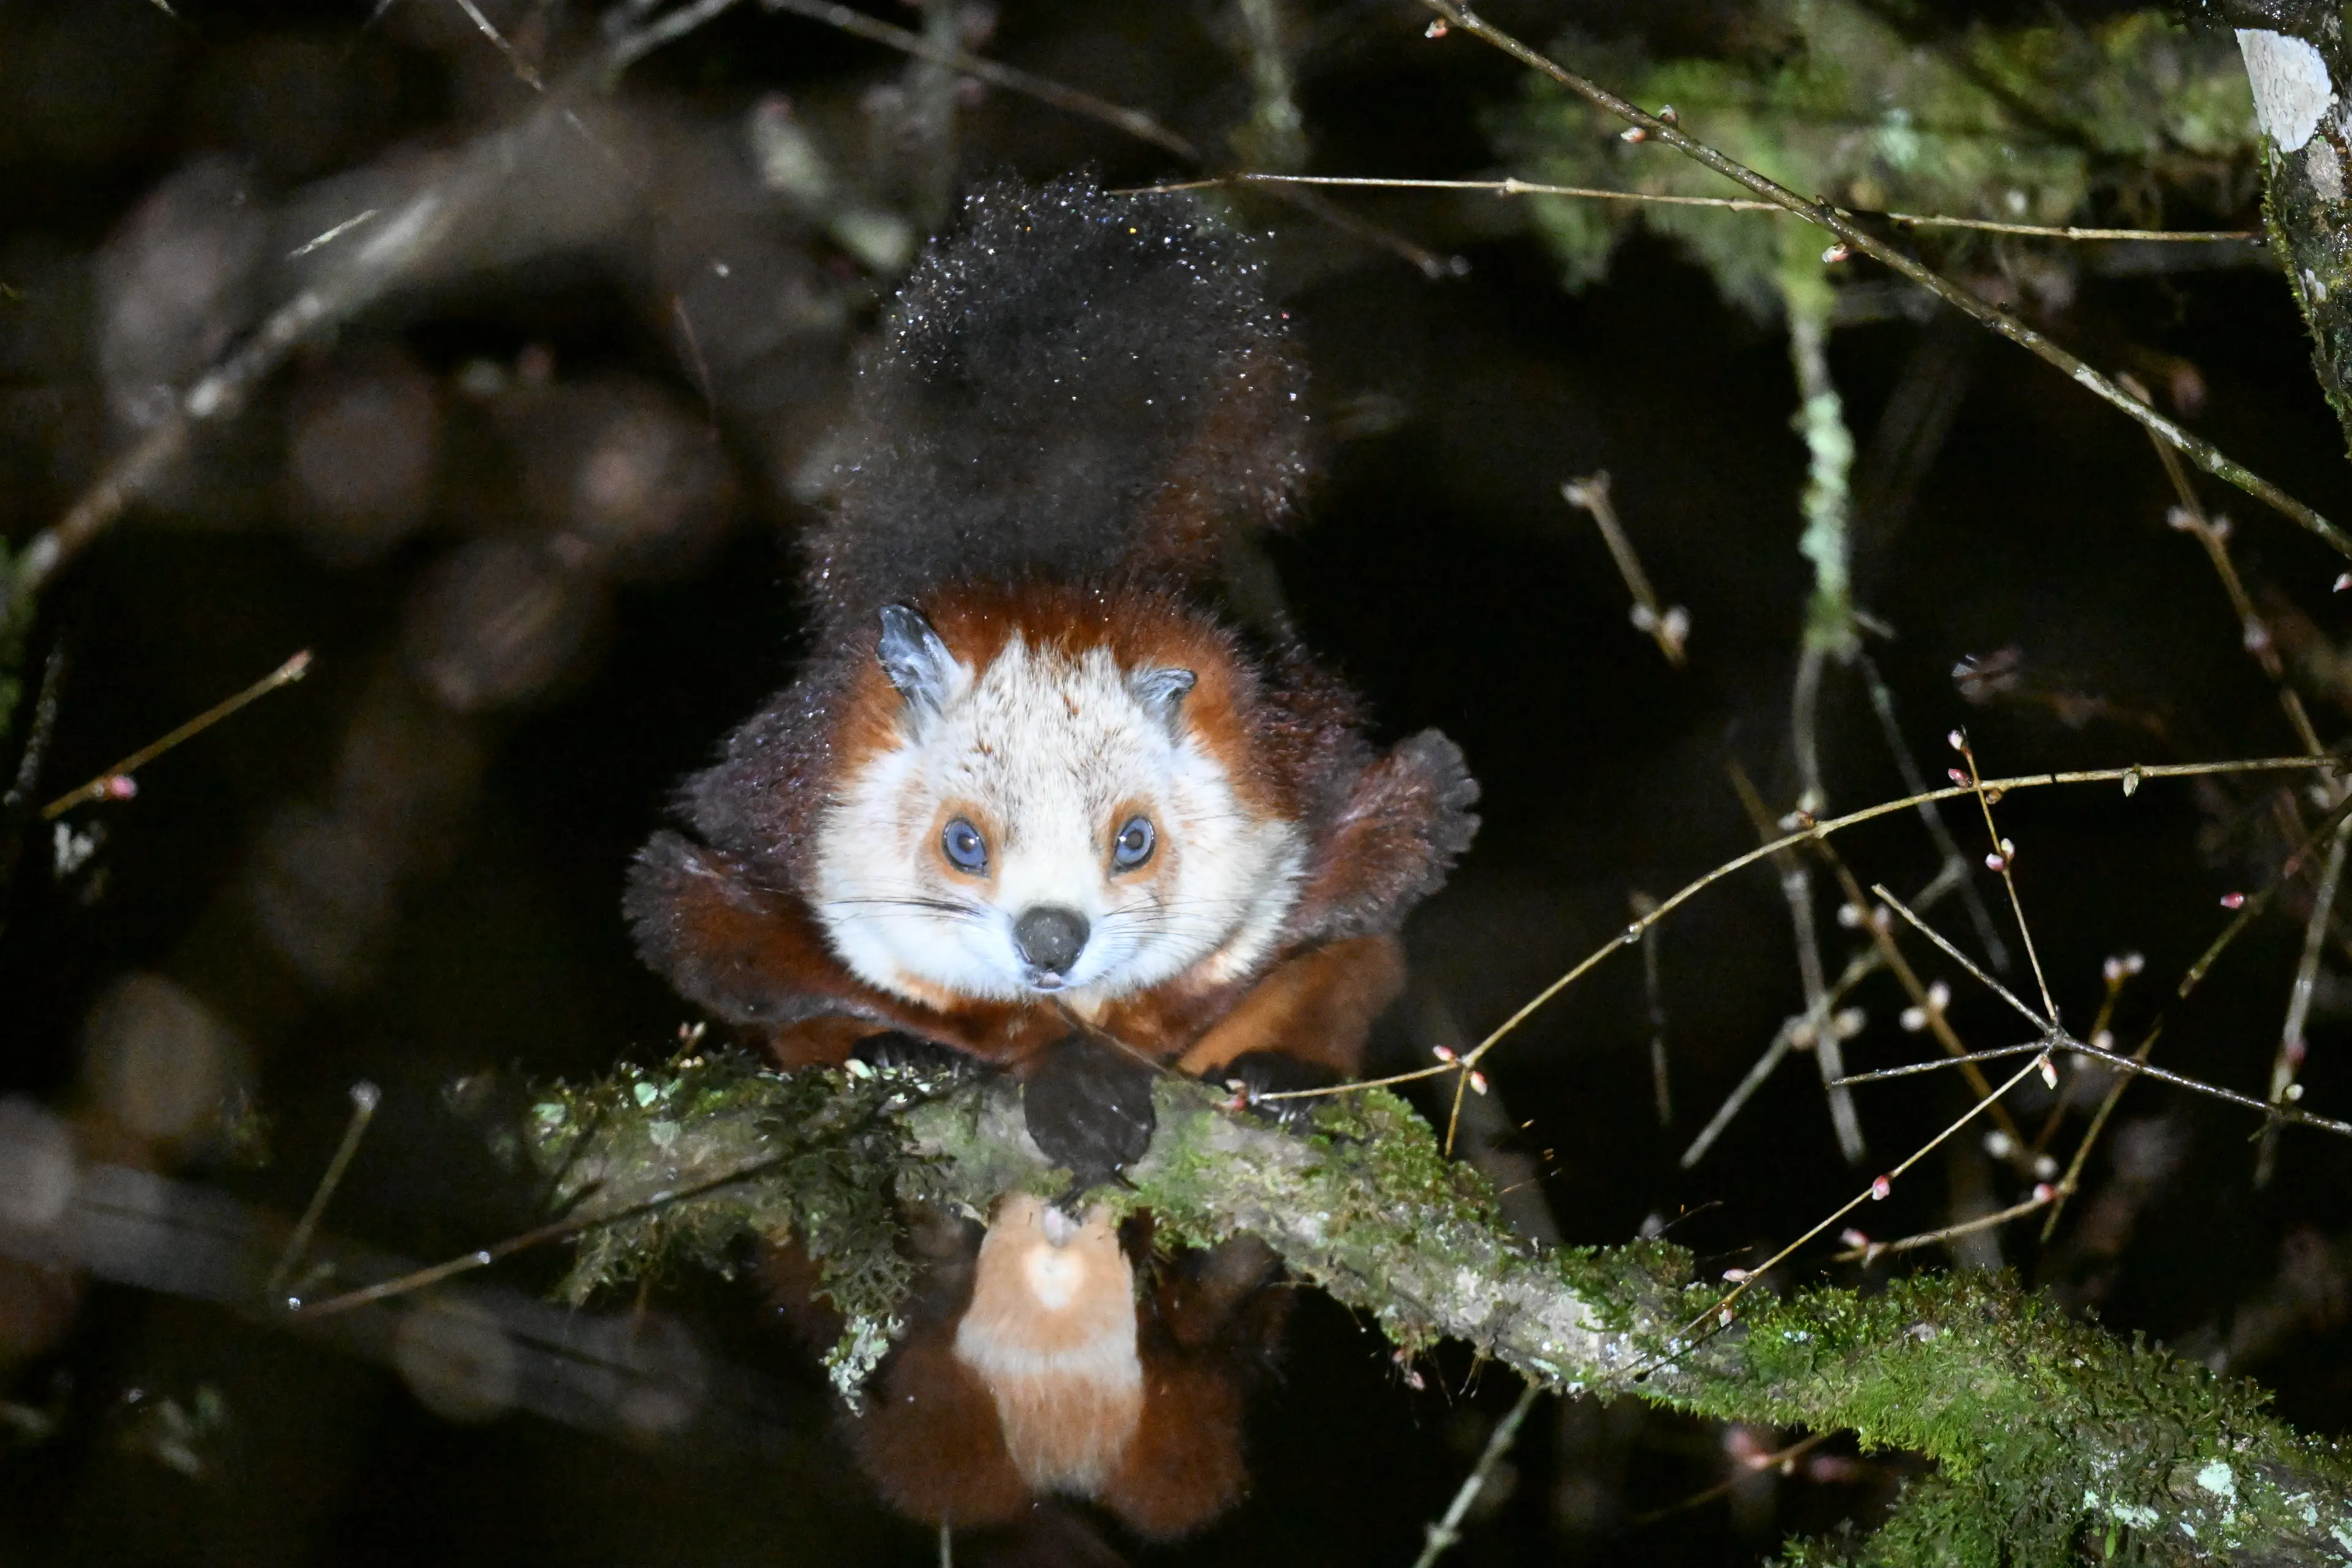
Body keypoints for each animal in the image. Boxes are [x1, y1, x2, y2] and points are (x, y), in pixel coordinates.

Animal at [625, 178, 1479, 1540]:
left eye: (1134, 841)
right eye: (962, 844)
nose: (1050, 938)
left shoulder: (1304, 778)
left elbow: (1371, 864)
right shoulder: (767, 813)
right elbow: (708, 925)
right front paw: (1026, 1072)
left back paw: (1243, 1199)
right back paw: (923, 1193)